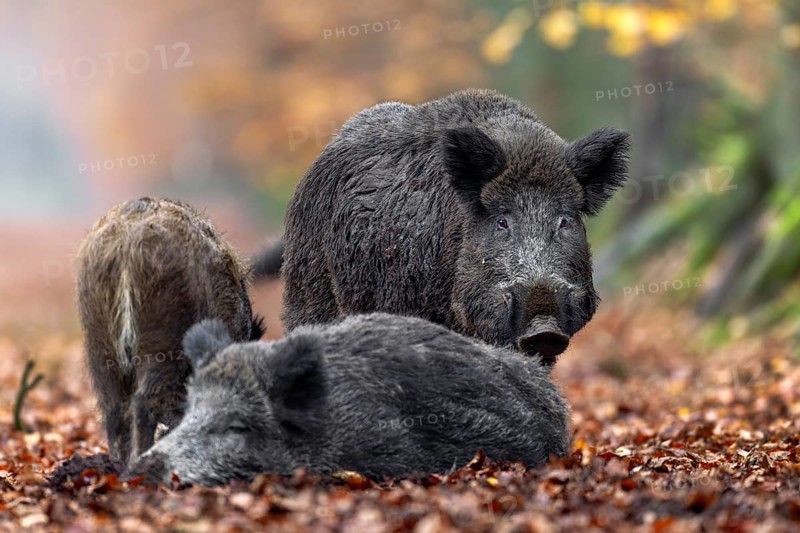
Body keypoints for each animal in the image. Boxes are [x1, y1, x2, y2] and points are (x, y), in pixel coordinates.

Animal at [76, 197, 264, 468]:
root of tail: (128, 241)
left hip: (98, 337)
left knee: (113, 406)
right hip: (163, 336)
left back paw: (118, 466)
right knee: (144, 402)